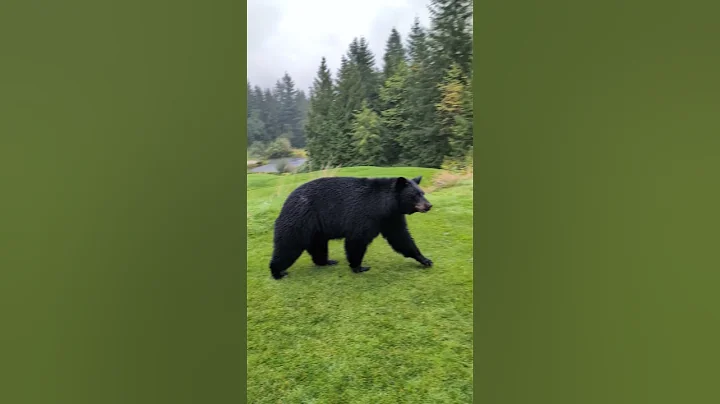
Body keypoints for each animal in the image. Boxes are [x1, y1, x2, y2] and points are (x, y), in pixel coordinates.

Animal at [268, 175, 434, 280]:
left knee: (318, 246)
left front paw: (425, 260)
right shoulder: (363, 214)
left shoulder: (391, 218)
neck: (384, 204)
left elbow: (401, 238)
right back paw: (278, 272)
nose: (429, 205)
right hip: (300, 221)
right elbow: (357, 239)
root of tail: (286, 202)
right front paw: (359, 267)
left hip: (316, 230)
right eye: (415, 195)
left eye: (422, 192)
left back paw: (327, 261)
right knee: (288, 245)